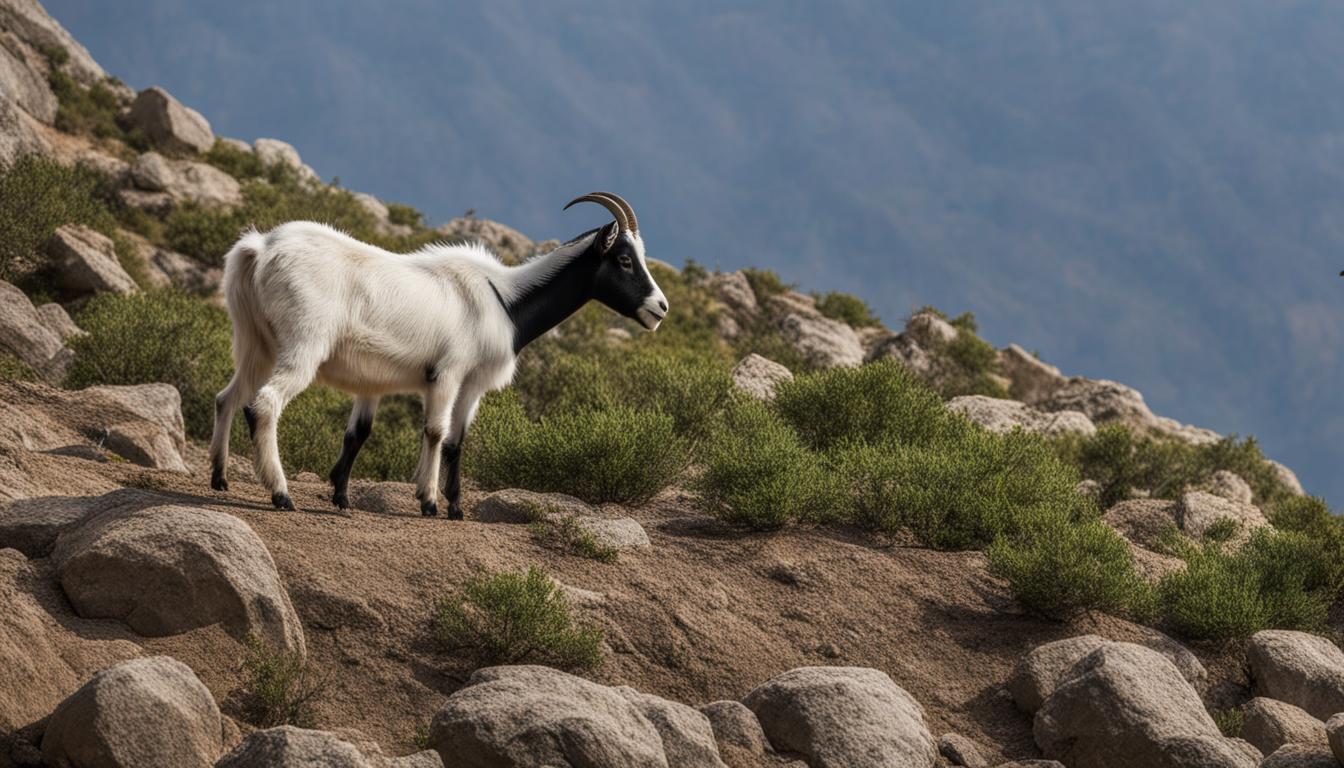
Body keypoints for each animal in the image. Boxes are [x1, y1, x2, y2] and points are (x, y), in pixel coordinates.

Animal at [207, 192, 666, 518]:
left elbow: (373, 435)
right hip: (303, 345)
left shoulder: (386, 382)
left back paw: (219, 477)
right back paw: (280, 493)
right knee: (264, 402)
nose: (660, 308)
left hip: (255, 341)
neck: (505, 301)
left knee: (227, 397)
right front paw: (429, 501)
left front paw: (346, 496)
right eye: (624, 259)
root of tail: (261, 248)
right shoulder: (452, 374)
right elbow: (438, 433)